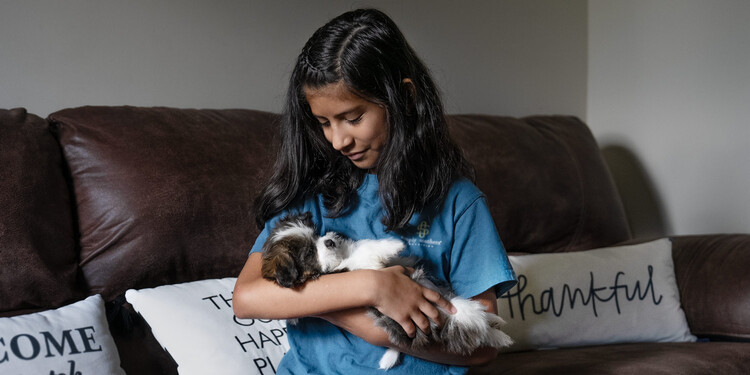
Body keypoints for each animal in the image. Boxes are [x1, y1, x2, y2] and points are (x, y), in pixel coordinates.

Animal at [262, 213, 516, 372]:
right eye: (308, 254)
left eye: (317, 234)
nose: (330, 242)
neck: (338, 262)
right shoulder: (353, 271)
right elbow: (364, 252)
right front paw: (394, 245)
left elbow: (365, 244)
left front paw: (392, 246)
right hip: (444, 315)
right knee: (472, 325)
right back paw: (497, 333)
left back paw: (495, 321)